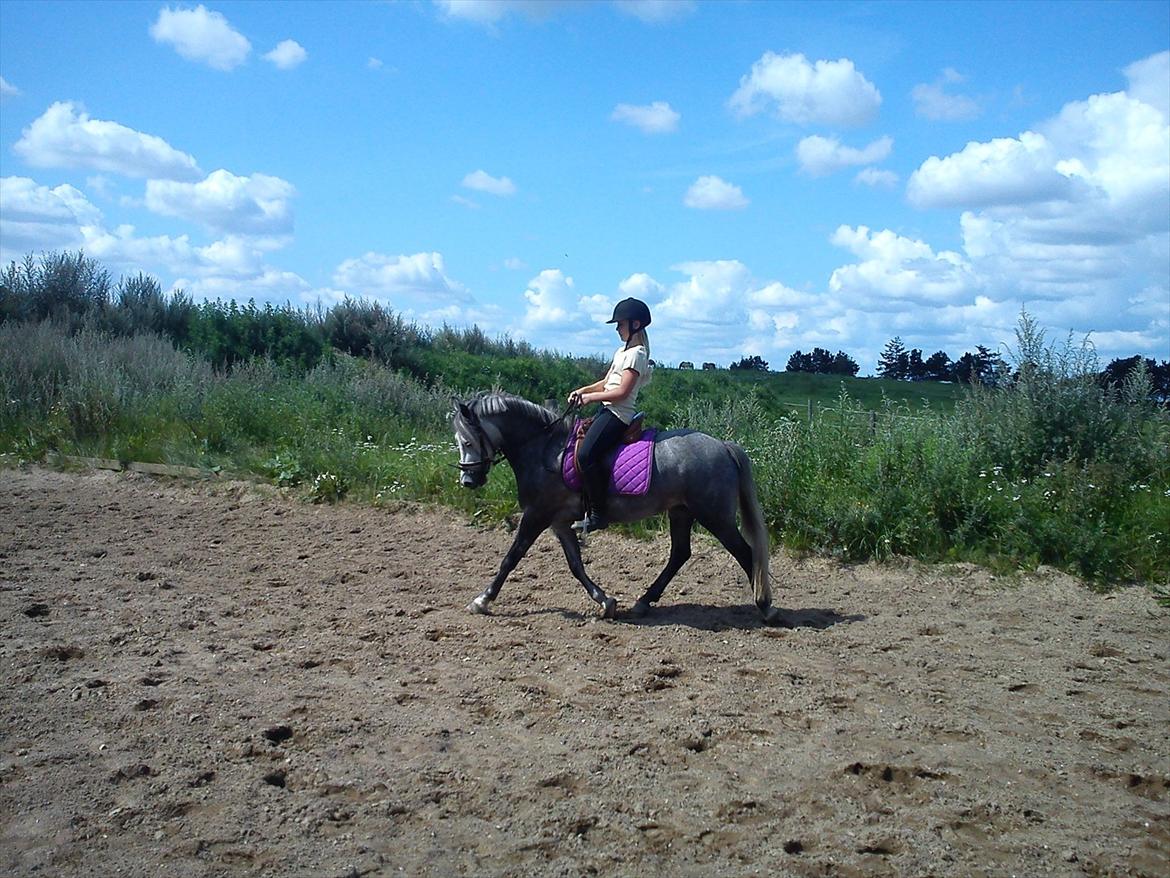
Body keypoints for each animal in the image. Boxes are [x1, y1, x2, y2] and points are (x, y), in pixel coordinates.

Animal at [451, 391, 781, 627]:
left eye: (467, 440)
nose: (468, 481)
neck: (545, 450)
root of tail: (723, 445)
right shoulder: (559, 522)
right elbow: (575, 565)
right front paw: (605, 602)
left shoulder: (537, 515)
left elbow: (511, 557)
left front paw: (482, 600)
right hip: (681, 511)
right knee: (680, 554)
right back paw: (644, 601)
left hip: (715, 516)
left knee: (744, 553)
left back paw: (765, 608)